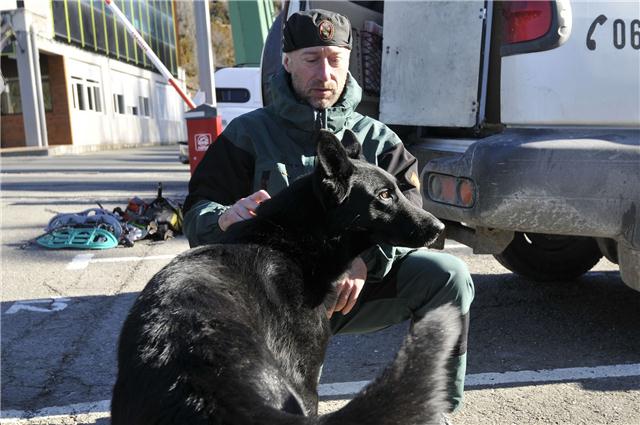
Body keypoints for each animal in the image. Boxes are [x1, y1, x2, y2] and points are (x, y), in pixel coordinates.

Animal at [111, 130, 460, 424]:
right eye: (385, 195)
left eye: (399, 189)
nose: (440, 228)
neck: (288, 244)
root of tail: (203, 387)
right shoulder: (306, 378)